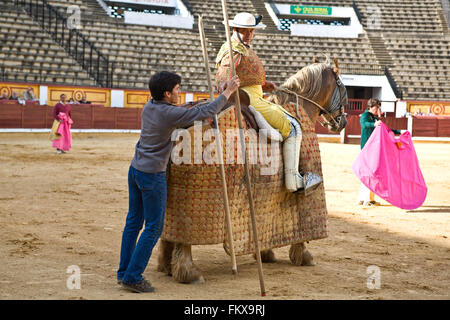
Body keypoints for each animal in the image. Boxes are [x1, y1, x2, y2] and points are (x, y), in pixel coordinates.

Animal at [156, 57, 350, 282]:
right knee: (185, 234)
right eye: (343, 87)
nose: (341, 122)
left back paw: (166, 265)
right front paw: (304, 255)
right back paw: (189, 272)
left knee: (168, 230)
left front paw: (266, 253)